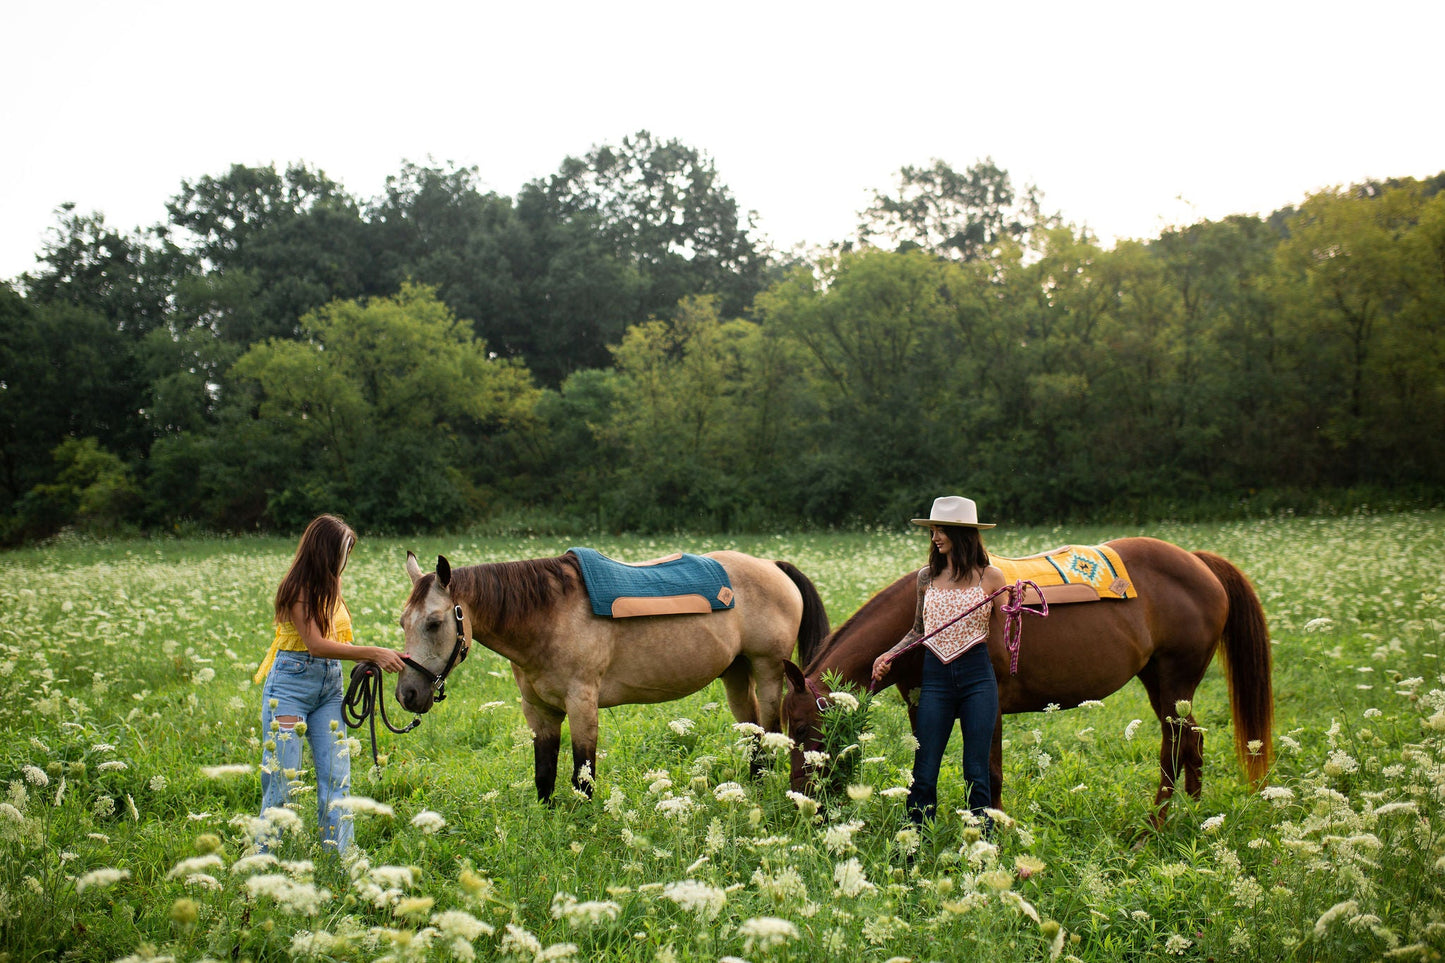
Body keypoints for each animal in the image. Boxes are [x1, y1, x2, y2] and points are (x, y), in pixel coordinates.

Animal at [398, 543, 826, 798]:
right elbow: (544, 773)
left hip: (767, 669)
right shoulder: (539, 712)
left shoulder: (582, 704)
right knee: (752, 731)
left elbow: (581, 774)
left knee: (769, 732)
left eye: (434, 623)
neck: (548, 616)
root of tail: (772, 566)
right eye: (403, 622)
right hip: (736, 672)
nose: (407, 694)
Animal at [786, 535, 1271, 821]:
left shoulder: (990, 706)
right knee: (1191, 743)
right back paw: (1192, 815)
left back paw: (1154, 827)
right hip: (1161, 683)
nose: (800, 801)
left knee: (1176, 748)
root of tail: (1197, 561)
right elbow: (924, 765)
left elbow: (989, 774)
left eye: (801, 727)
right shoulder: (921, 703)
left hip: (1175, 682)